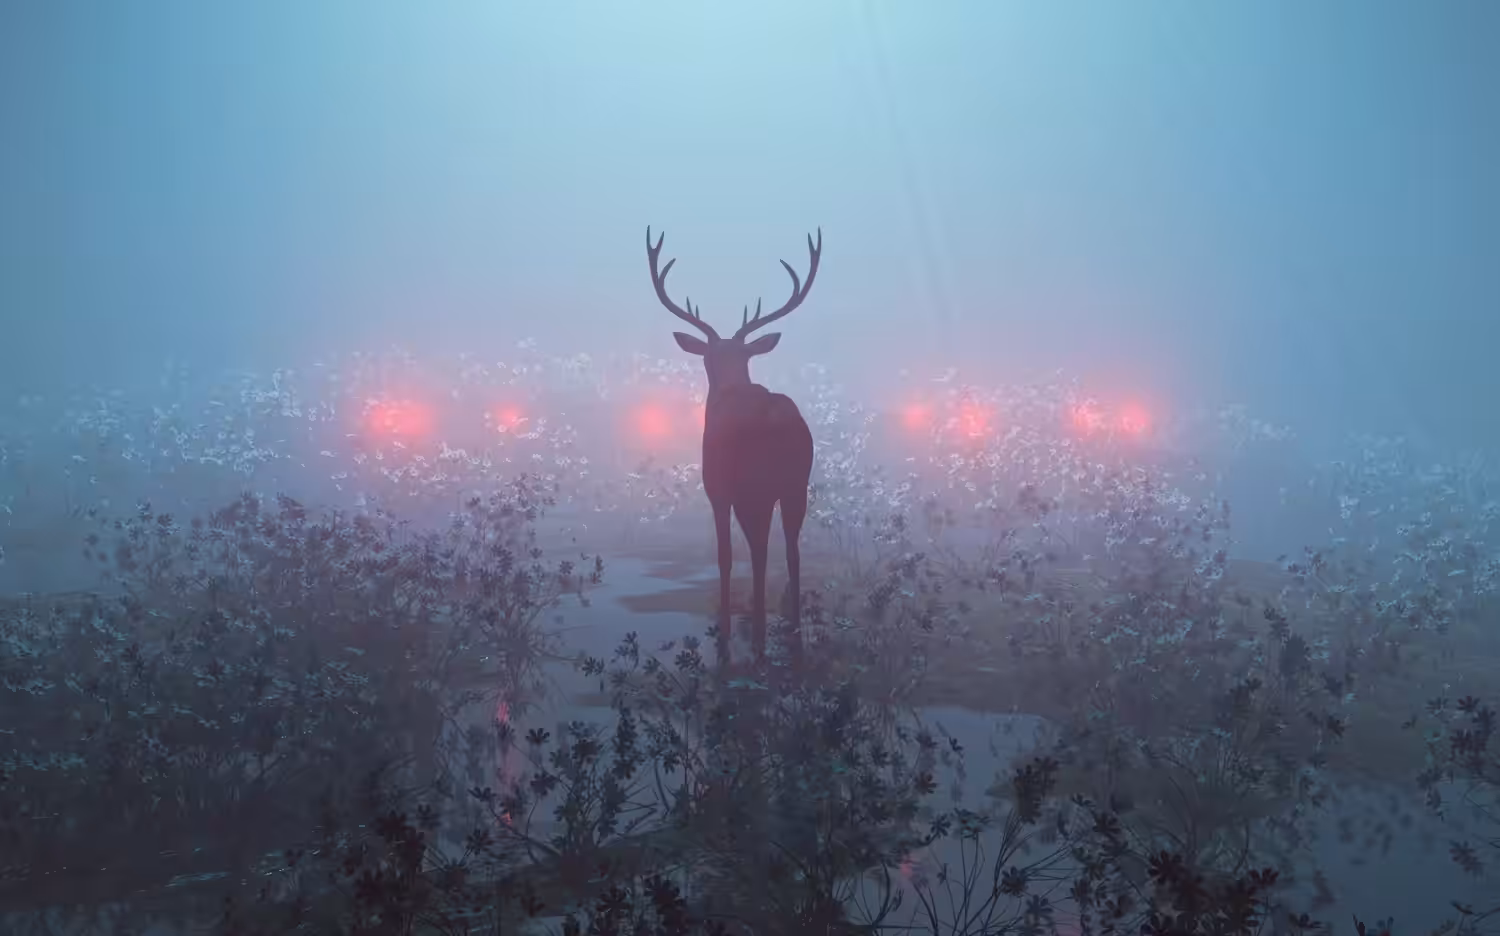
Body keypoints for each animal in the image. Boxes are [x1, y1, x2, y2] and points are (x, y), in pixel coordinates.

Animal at [644, 225, 822, 657]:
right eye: (711, 357)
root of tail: (777, 417)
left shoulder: (717, 488)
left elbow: (725, 555)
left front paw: (724, 624)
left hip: (755, 486)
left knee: (760, 548)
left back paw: (756, 629)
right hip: (797, 483)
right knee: (792, 548)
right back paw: (791, 626)